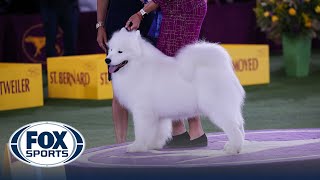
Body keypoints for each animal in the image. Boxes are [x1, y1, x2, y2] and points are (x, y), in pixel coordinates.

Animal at [107, 28, 245, 155]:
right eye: (111, 50)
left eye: (120, 51)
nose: (107, 60)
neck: (138, 66)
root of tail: (222, 69)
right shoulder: (157, 114)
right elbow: (158, 131)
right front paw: (153, 145)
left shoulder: (142, 111)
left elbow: (141, 131)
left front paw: (137, 146)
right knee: (238, 126)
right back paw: (233, 145)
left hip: (218, 108)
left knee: (234, 129)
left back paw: (233, 148)